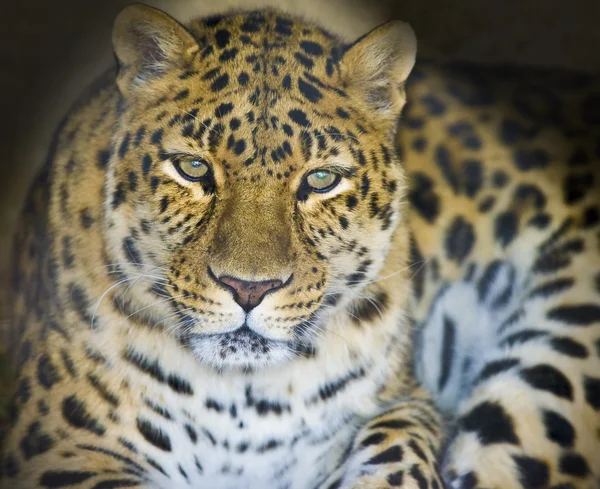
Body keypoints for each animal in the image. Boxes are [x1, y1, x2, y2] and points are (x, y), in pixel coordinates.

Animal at [0, 3, 596, 488]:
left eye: (321, 180)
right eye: (193, 168)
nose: (248, 289)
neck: (244, 400)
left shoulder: (408, 401)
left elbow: (400, 452)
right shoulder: (61, 449)